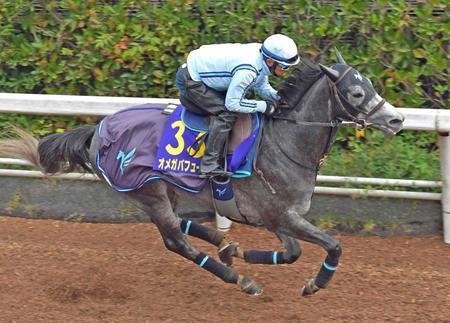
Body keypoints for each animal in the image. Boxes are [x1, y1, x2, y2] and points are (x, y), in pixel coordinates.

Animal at [0, 52, 404, 298]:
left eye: (371, 85)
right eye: (356, 92)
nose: (397, 119)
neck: (286, 141)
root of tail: (99, 129)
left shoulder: (277, 217)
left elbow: (292, 252)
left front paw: (239, 249)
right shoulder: (279, 214)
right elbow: (332, 245)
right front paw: (314, 285)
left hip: (166, 190)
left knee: (181, 224)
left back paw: (223, 245)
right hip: (149, 192)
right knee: (175, 240)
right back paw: (239, 279)